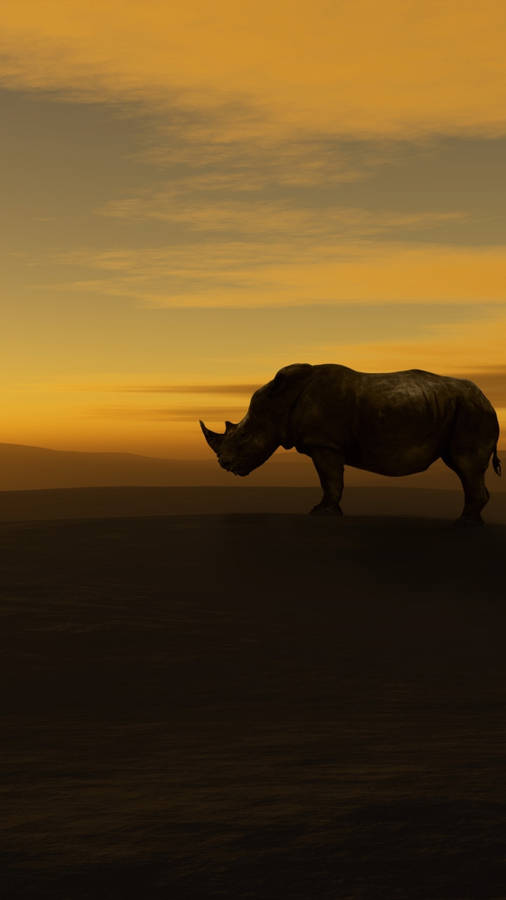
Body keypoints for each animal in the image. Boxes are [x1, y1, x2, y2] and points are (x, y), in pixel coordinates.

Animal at [200, 363, 502, 525]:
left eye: (242, 437)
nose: (223, 464)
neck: (281, 401)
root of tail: (487, 399)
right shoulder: (325, 443)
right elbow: (332, 480)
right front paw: (328, 512)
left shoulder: (324, 443)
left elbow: (331, 480)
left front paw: (322, 513)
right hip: (461, 409)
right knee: (463, 467)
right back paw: (470, 522)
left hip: (472, 411)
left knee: (465, 464)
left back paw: (463, 525)